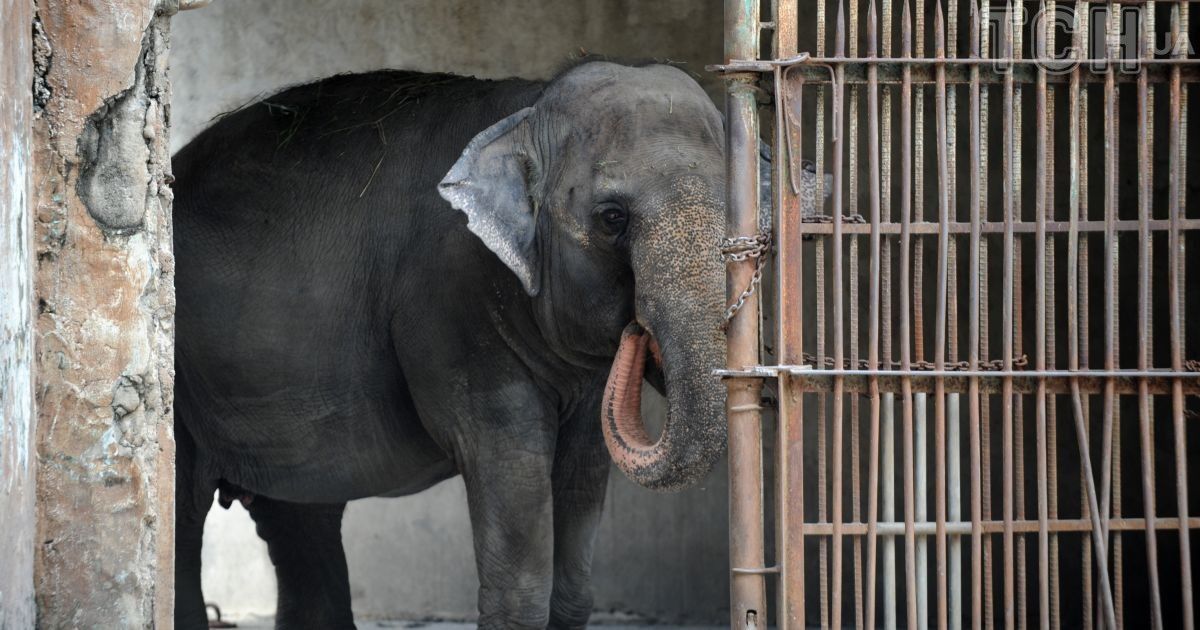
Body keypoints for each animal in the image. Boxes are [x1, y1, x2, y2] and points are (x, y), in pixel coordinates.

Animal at [172, 60, 827, 629]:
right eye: (612, 218)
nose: (636, 332)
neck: (526, 111)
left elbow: (582, 476)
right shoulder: (455, 308)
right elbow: (510, 466)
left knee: (301, 516)